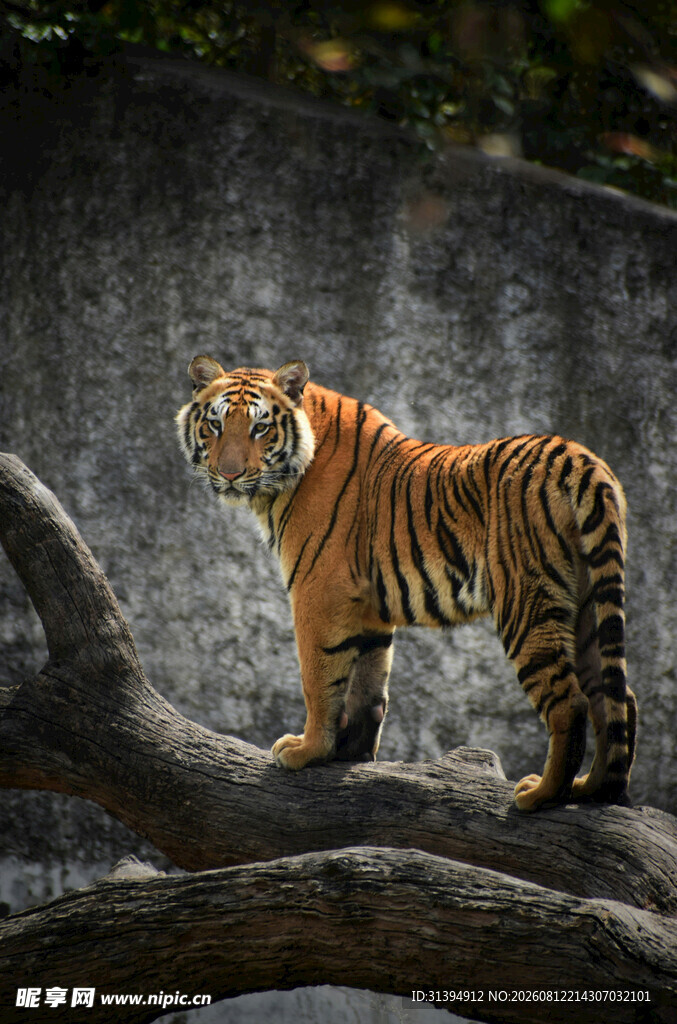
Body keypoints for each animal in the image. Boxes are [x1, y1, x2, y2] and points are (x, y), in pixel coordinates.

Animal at [176, 355, 637, 811]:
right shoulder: (367, 606)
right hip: (588, 605)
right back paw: (592, 789)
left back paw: (540, 795)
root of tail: (580, 459)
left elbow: (319, 677)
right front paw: (350, 753)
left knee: (570, 702)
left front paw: (307, 750)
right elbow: (368, 683)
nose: (230, 474)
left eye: (260, 428)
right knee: (615, 698)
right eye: (215, 425)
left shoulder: (318, 590)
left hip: (526, 601)